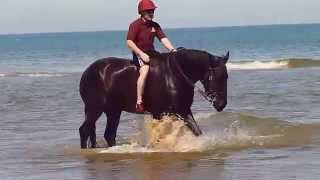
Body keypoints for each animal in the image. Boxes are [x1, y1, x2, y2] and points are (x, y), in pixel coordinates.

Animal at [80, 47, 230, 148]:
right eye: (216, 77)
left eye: (226, 76)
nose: (221, 104)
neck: (175, 74)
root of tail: (88, 71)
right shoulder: (159, 113)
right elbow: (158, 136)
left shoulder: (183, 111)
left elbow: (197, 131)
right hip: (95, 109)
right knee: (84, 130)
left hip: (113, 111)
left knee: (108, 134)